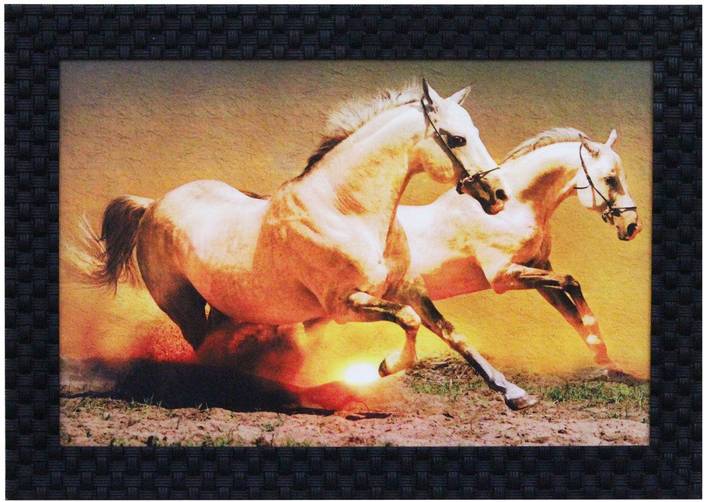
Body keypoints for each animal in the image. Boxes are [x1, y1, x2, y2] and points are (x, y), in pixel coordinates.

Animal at [83, 80, 540, 410]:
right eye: (456, 138)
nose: (499, 195)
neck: (345, 211)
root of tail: (152, 205)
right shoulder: (344, 305)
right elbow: (408, 321)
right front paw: (384, 367)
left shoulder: (408, 288)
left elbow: (452, 333)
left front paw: (515, 395)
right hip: (182, 305)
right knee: (202, 348)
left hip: (227, 306)